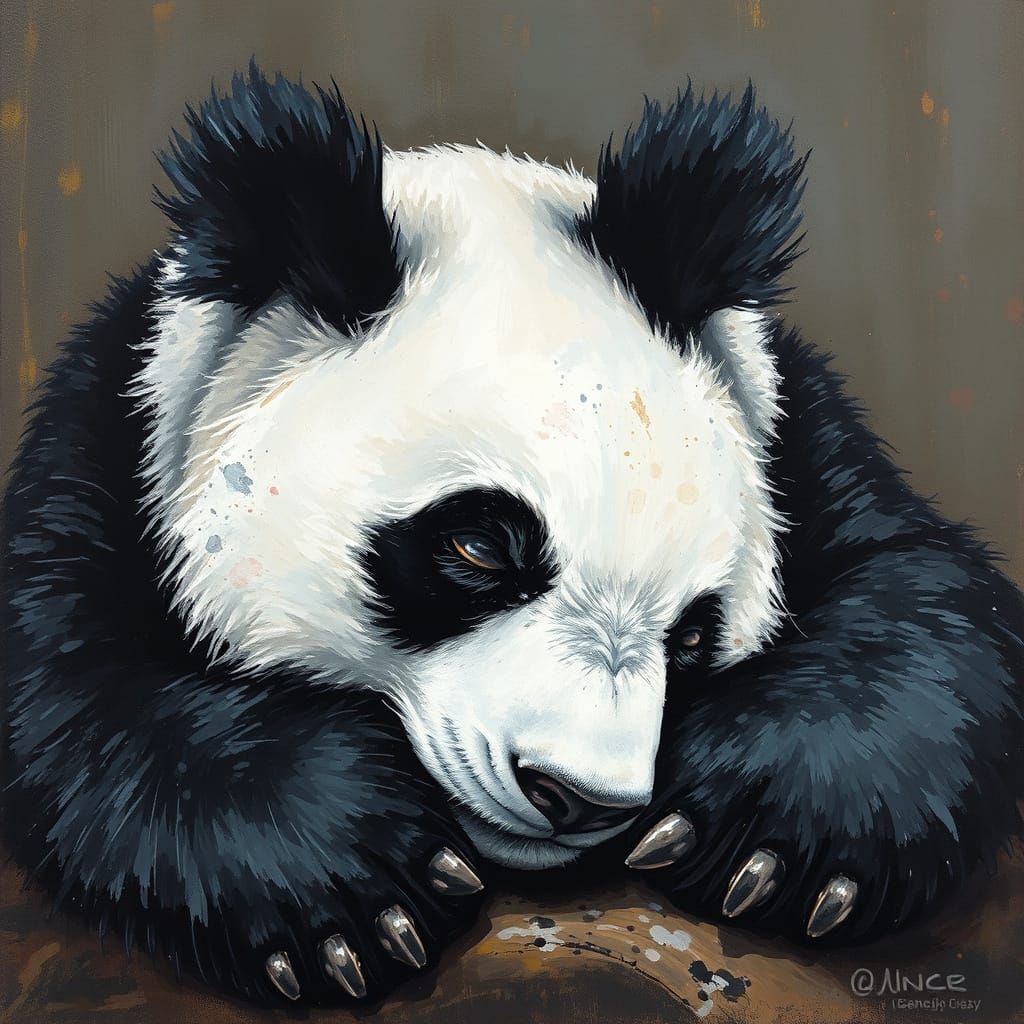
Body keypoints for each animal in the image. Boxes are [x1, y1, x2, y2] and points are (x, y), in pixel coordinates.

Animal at [3, 63, 1022, 1006]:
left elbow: (925, 604)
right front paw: (352, 900)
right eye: (481, 547)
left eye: (696, 632)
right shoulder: (110, 445)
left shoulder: (795, 434)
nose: (581, 797)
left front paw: (771, 847)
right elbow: (86, 700)